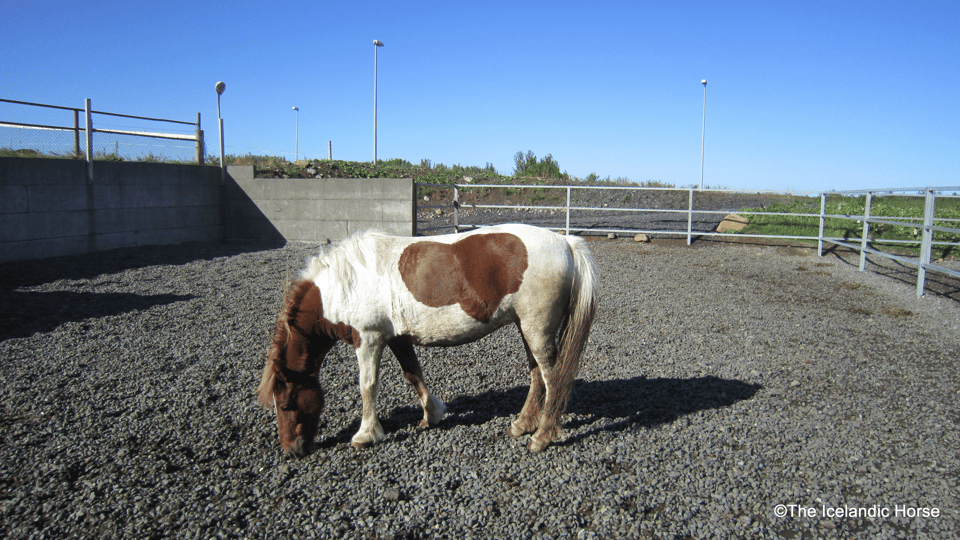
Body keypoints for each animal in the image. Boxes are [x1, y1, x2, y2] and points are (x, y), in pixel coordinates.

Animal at [257, 223, 598, 456]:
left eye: (286, 403)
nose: (292, 450)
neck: (347, 283)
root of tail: (565, 242)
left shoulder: (368, 339)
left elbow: (368, 386)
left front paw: (365, 435)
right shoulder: (397, 338)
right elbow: (413, 374)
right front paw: (432, 415)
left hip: (537, 329)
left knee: (552, 379)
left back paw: (541, 437)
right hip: (528, 328)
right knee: (537, 376)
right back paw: (522, 425)